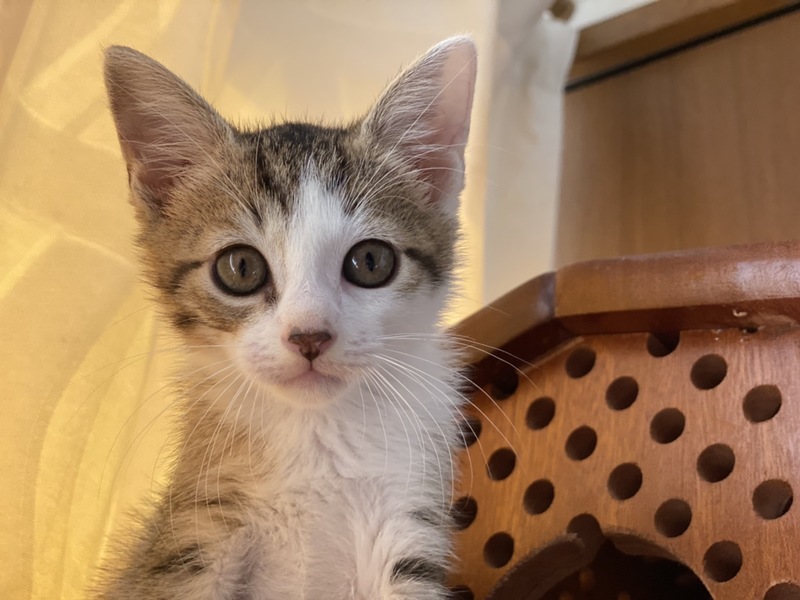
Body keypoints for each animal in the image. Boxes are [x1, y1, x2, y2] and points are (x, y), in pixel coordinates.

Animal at [96, 35, 476, 600]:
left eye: (371, 261)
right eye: (240, 267)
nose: (309, 336)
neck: (315, 436)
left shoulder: (407, 515)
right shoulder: (195, 531)